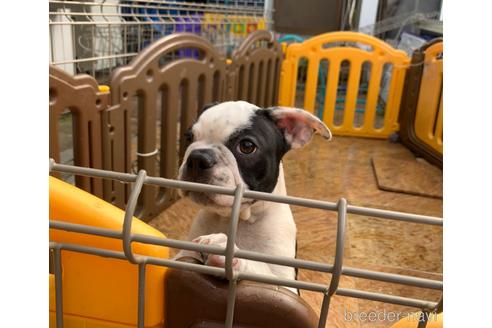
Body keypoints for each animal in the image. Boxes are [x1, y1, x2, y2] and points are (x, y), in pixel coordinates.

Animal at [175, 101, 332, 286]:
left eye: (247, 146)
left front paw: (224, 249)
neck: (236, 219)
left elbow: (262, 270)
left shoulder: (285, 281)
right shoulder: (183, 253)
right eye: (188, 138)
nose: (197, 158)